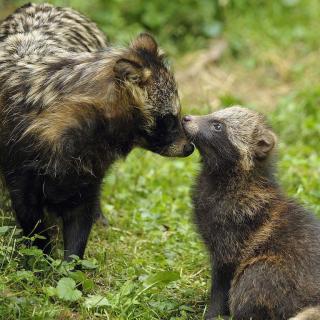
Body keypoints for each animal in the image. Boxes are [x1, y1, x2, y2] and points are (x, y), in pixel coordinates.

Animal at [0, 3, 194, 260]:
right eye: (170, 118)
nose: (190, 147)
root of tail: (50, 5)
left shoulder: (86, 180)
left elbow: (78, 235)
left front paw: (71, 268)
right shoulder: (21, 176)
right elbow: (36, 232)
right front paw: (43, 261)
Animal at [182, 107, 320, 320]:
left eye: (218, 126)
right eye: (213, 114)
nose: (186, 118)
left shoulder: (232, 232)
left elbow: (223, 279)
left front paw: (213, 312)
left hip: (271, 275)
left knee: (251, 281)